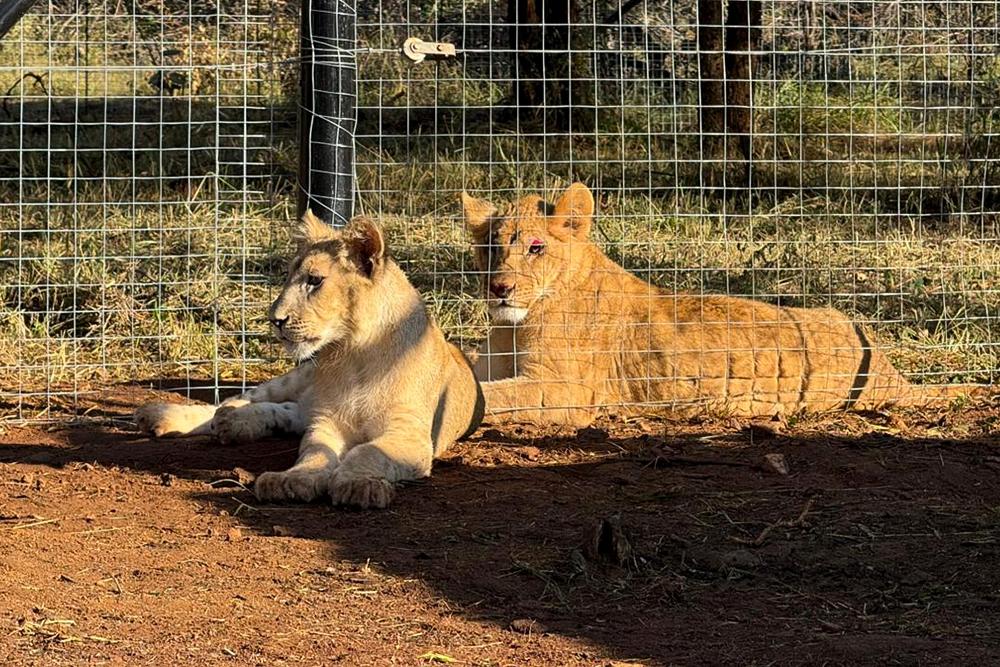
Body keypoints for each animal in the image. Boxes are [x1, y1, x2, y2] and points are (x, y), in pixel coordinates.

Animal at [135, 212, 484, 508]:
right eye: (289, 276)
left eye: (315, 281)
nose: (274, 319)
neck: (354, 354)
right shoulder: (326, 421)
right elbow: (314, 453)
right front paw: (293, 480)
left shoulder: (410, 434)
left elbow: (367, 452)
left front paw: (358, 484)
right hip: (296, 379)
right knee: (235, 402)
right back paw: (165, 416)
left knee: (285, 412)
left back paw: (234, 422)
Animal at [461, 182, 974, 427]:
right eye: (489, 248)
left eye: (535, 248)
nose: (499, 288)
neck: (514, 324)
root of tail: (891, 371)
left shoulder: (566, 391)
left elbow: (495, 396)